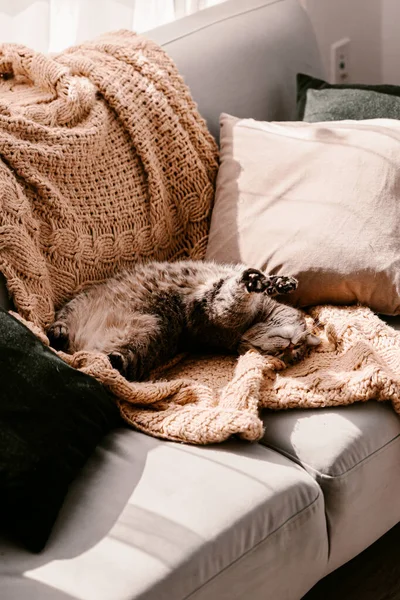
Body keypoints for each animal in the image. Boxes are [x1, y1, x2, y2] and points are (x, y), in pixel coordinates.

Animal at [47, 262, 322, 382]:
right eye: (298, 348)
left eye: (293, 354)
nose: (291, 347)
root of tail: (79, 346)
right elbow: (261, 281)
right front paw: (279, 282)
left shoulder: (218, 308)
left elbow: (234, 292)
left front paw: (256, 283)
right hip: (77, 305)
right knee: (61, 323)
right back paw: (58, 331)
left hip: (150, 331)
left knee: (114, 364)